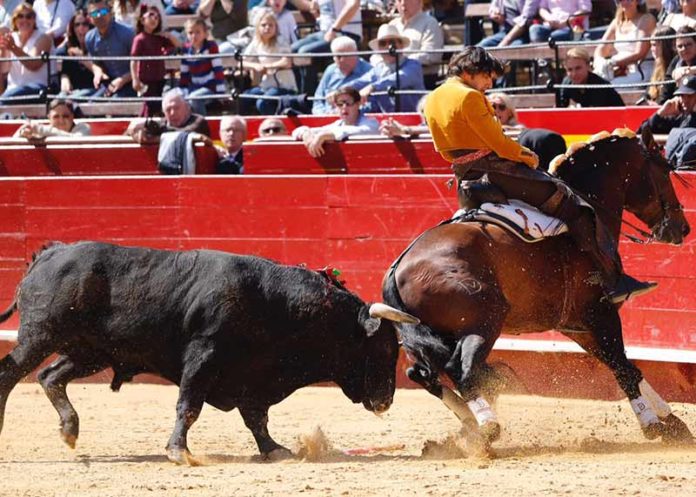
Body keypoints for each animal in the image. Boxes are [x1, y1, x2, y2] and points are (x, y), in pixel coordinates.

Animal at [0, 242, 416, 464]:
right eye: (384, 348)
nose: (386, 401)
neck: (277, 304)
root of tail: (51, 252)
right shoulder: (204, 356)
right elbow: (189, 406)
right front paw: (178, 452)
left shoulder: (254, 376)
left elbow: (256, 418)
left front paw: (274, 449)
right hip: (40, 336)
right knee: (11, 373)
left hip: (91, 352)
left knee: (50, 376)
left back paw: (70, 430)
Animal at [384, 129, 692, 450]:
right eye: (663, 171)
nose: (682, 228)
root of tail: (398, 270)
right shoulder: (599, 313)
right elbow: (623, 367)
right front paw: (653, 424)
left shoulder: (576, 326)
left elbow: (626, 366)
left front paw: (673, 423)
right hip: (484, 323)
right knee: (461, 370)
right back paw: (487, 429)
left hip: (426, 338)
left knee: (424, 374)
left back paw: (470, 425)